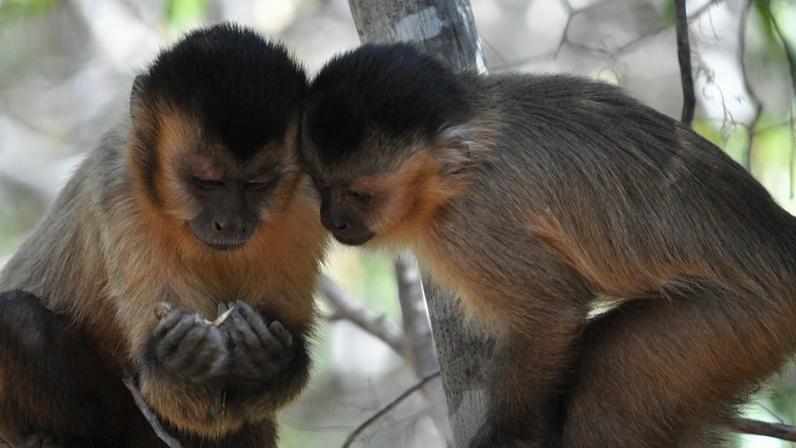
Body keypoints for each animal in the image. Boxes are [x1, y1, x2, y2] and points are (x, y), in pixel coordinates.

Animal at [0, 24, 327, 448]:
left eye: (258, 184)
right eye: (207, 182)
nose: (230, 223)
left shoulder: (308, 202)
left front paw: (265, 361)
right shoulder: (121, 190)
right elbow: (174, 392)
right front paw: (181, 360)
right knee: (18, 319)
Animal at [300, 43, 796, 448]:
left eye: (360, 195)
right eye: (321, 186)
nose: (332, 220)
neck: (457, 174)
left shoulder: (473, 224)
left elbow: (551, 309)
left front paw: (510, 437)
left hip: (738, 323)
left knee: (606, 394)